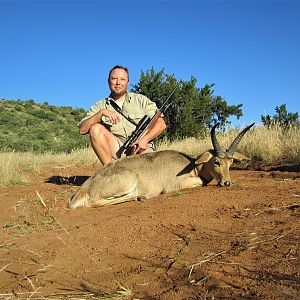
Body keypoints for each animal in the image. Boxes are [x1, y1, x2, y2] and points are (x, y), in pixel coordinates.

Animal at [67, 122, 253, 209]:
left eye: (230, 162)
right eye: (216, 161)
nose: (227, 183)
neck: (191, 164)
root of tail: (86, 187)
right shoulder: (175, 184)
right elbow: (200, 181)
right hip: (128, 180)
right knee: (94, 203)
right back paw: (142, 196)